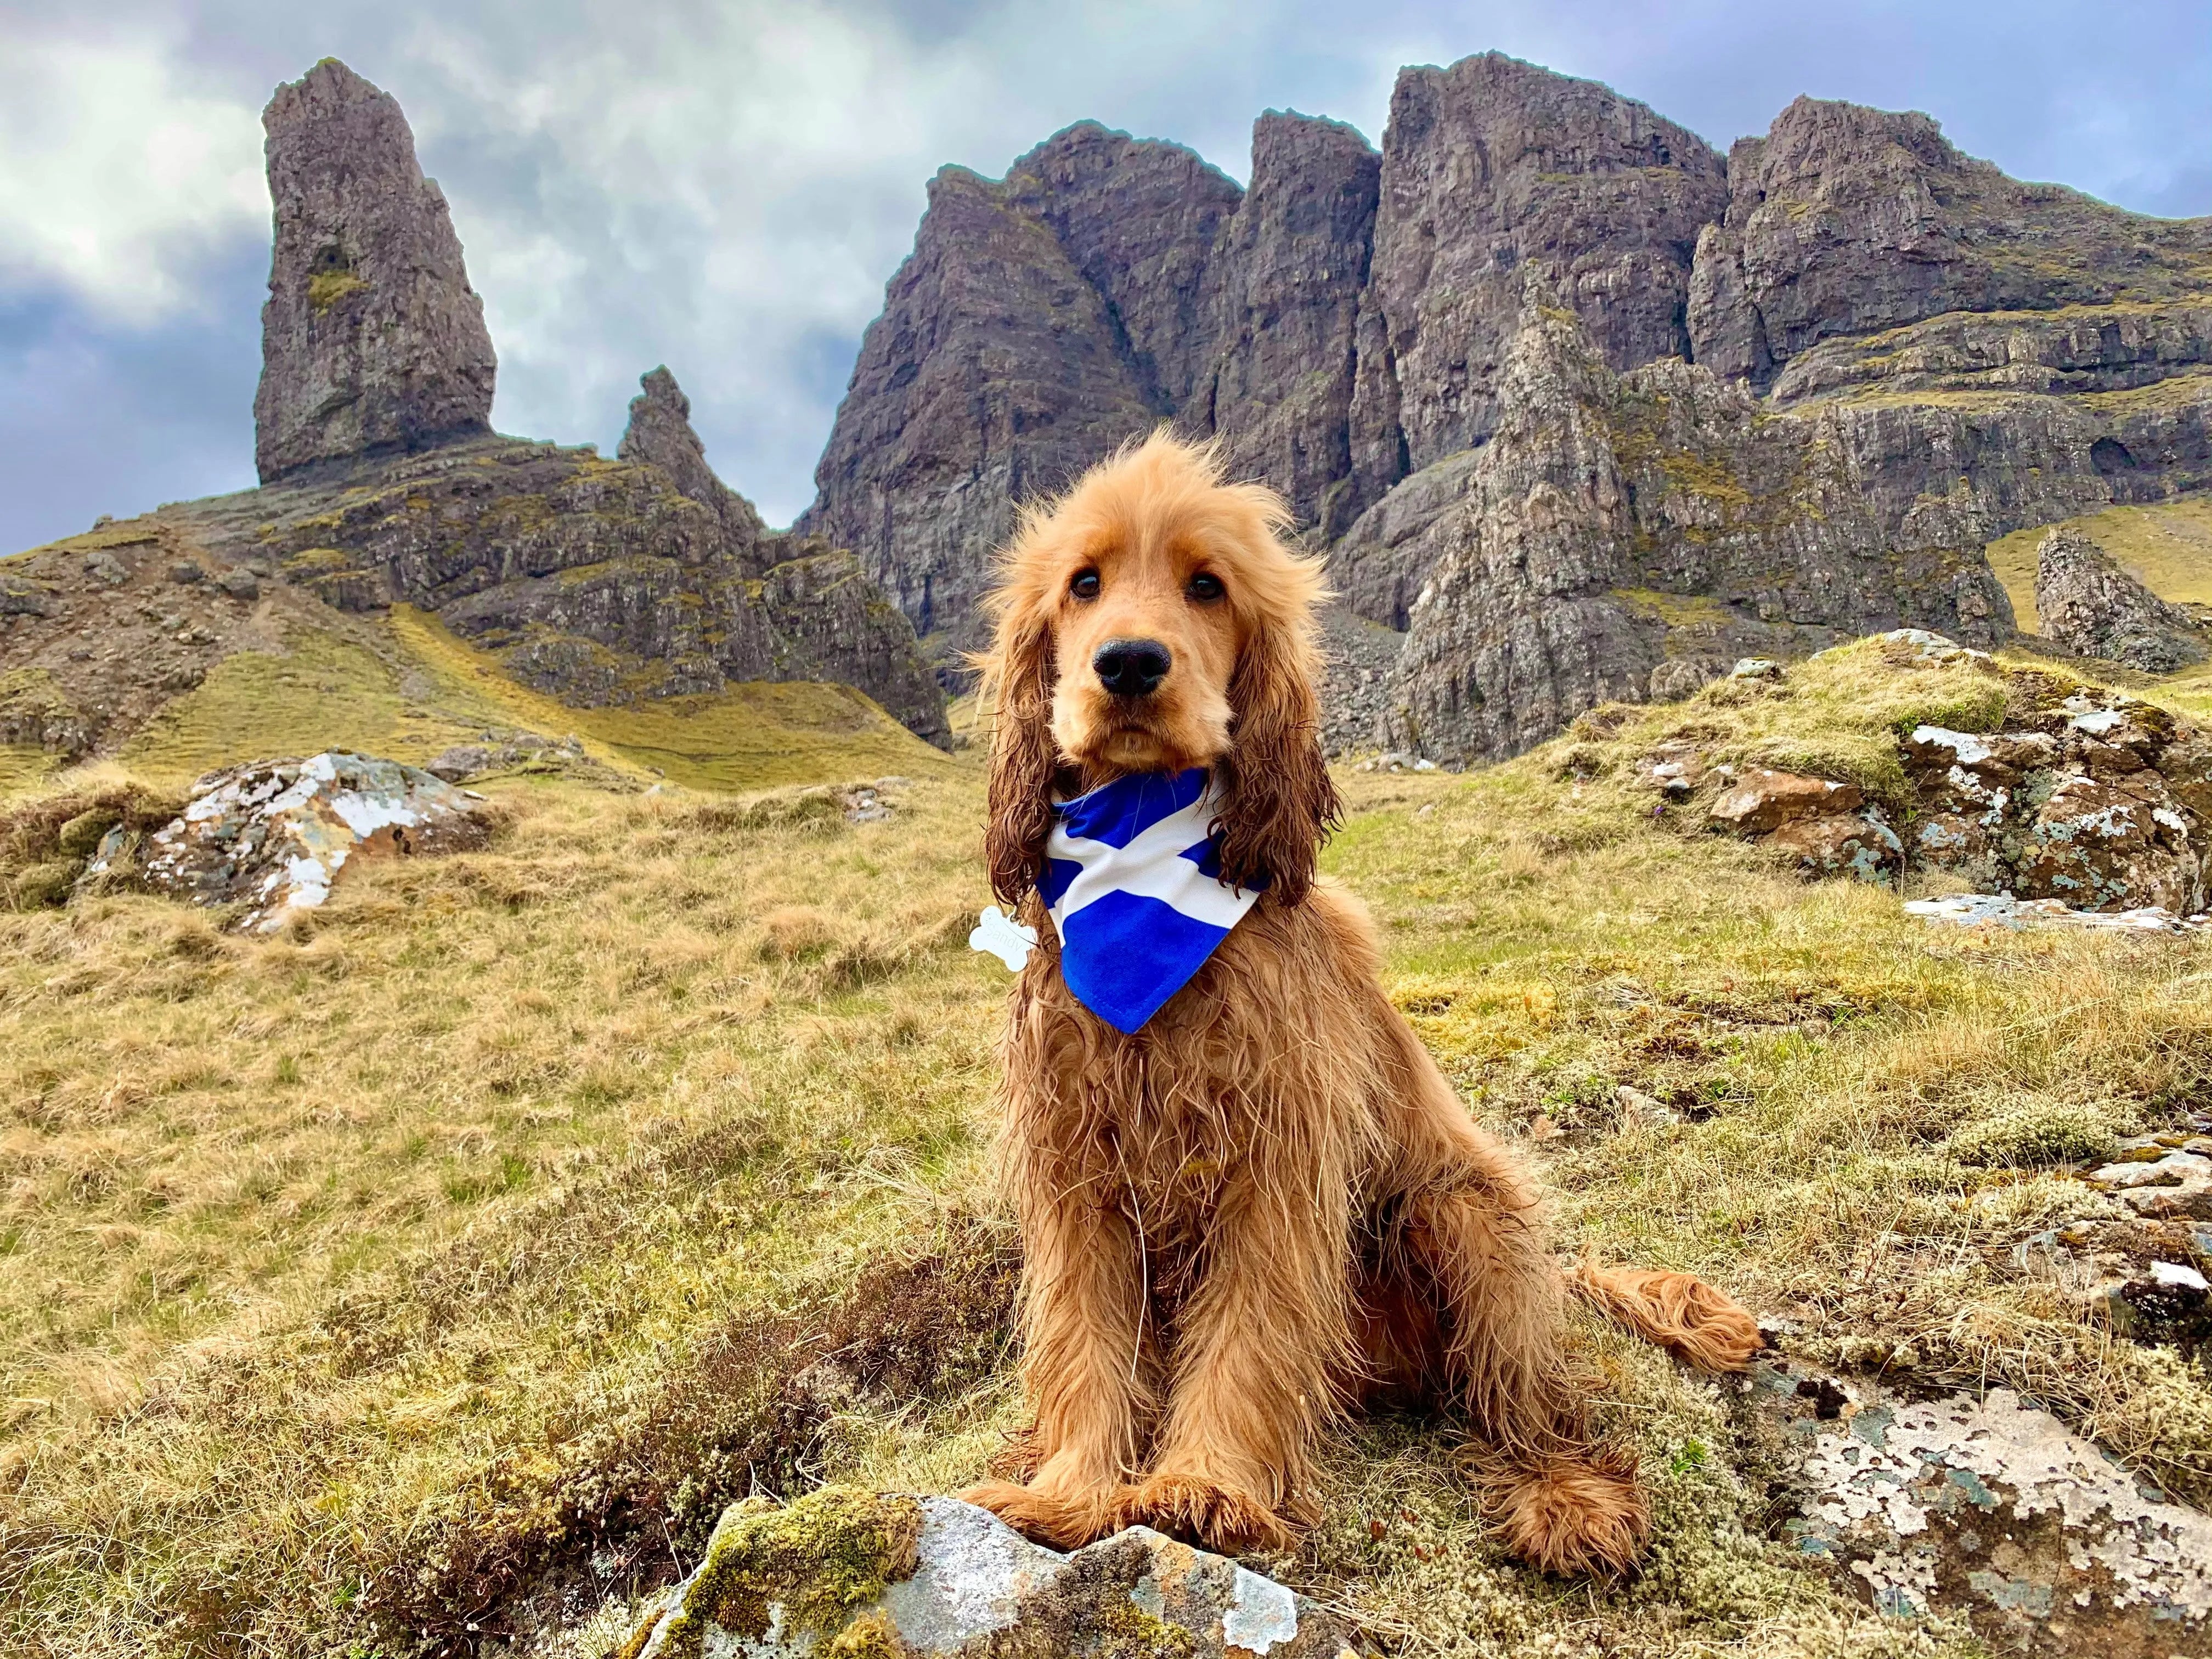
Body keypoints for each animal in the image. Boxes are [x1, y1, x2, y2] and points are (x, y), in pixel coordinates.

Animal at [960, 429, 1752, 1575]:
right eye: (1084, 583)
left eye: (1207, 585)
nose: (1129, 665)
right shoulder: (1078, 1169)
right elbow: (1082, 1339)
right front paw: (1070, 1491)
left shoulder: (1273, 1166)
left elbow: (1248, 1332)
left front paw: (1206, 1487)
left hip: (1465, 1216)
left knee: (1530, 1400)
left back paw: (1566, 1496)